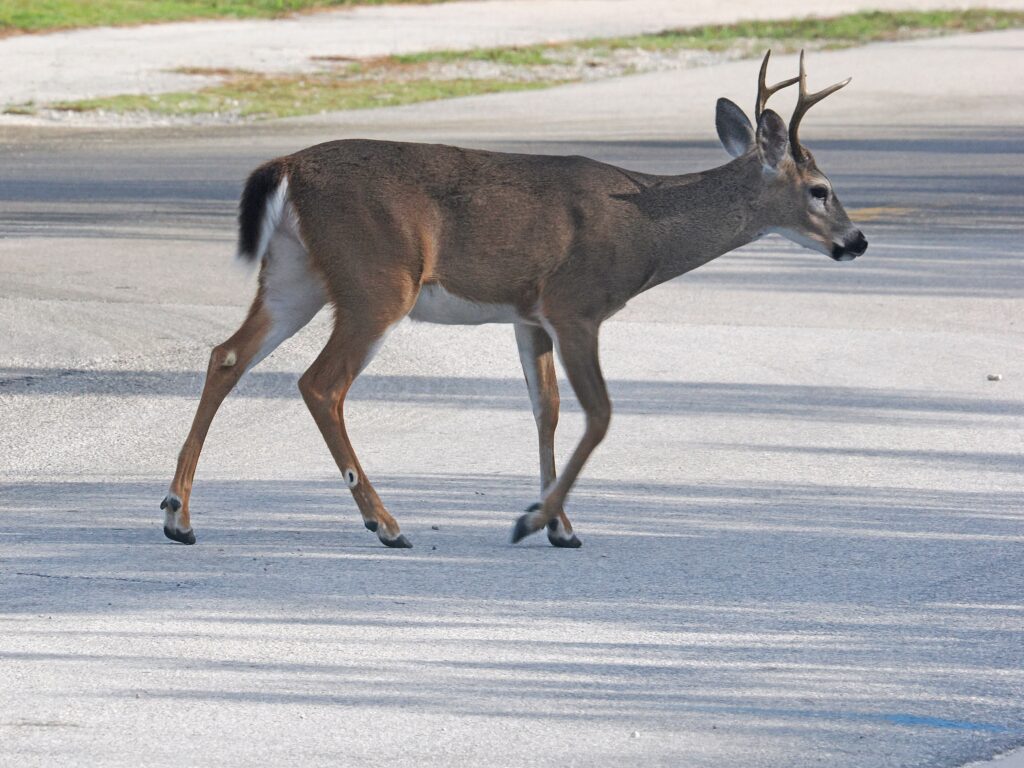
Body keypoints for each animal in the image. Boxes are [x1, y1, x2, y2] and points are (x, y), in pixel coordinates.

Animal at [161, 50, 867, 549]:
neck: (645, 230)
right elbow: (599, 413)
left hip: (295, 274)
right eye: (821, 189)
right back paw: (386, 524)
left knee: (226, 355)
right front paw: (535, 521)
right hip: (378, 278)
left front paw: (560, 525)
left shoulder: (529, 314)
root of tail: (286, 166)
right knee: (320, 384)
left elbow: (545, 409)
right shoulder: (576, 302)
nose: (857, 241)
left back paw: (178, 515)